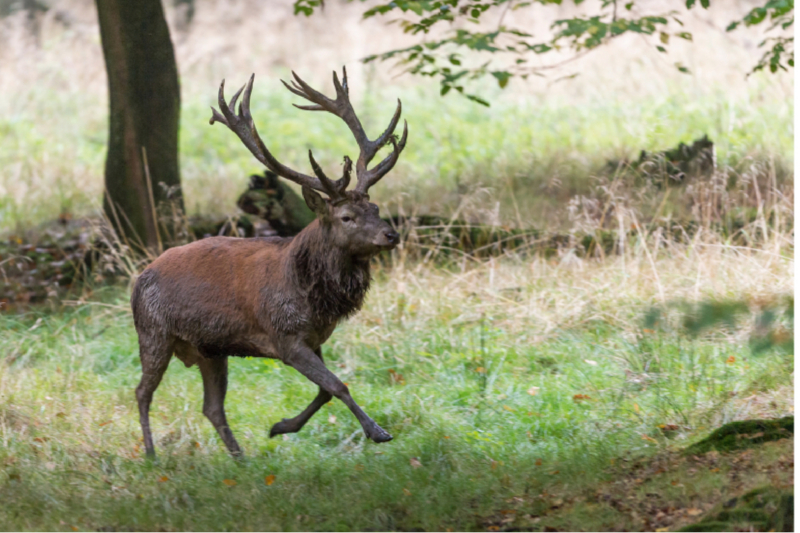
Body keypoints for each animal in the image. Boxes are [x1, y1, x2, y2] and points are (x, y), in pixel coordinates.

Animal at [133, 67, 406, 458]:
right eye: (346, 217)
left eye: (375, 207)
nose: (391, 235)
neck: (313, 299)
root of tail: (139, 278)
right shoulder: (284, 335)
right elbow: (338, 386)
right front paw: (377, 431)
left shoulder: (313, 339)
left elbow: (324, 391)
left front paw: (280, 427)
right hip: (154, 332)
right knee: (143, 392)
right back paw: (152, 455)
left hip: (210, 350)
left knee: (211, 407)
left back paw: (240, 459)